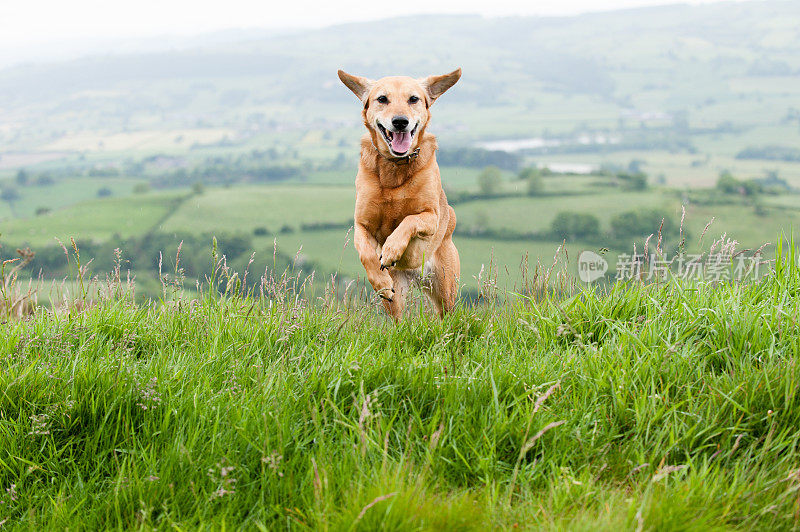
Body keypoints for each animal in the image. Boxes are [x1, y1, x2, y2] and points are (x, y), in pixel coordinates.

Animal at [338, 66, 462, 316]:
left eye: (413, 99)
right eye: (382, 99)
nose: (400, 122)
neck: (396, 166)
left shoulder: (431, 217)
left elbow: (409, 220)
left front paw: (392, 249)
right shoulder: (361, 224)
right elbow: (367, 253)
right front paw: (381, 281)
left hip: (445, 287)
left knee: (446, 314)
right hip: (397, 296)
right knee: (399, 317)